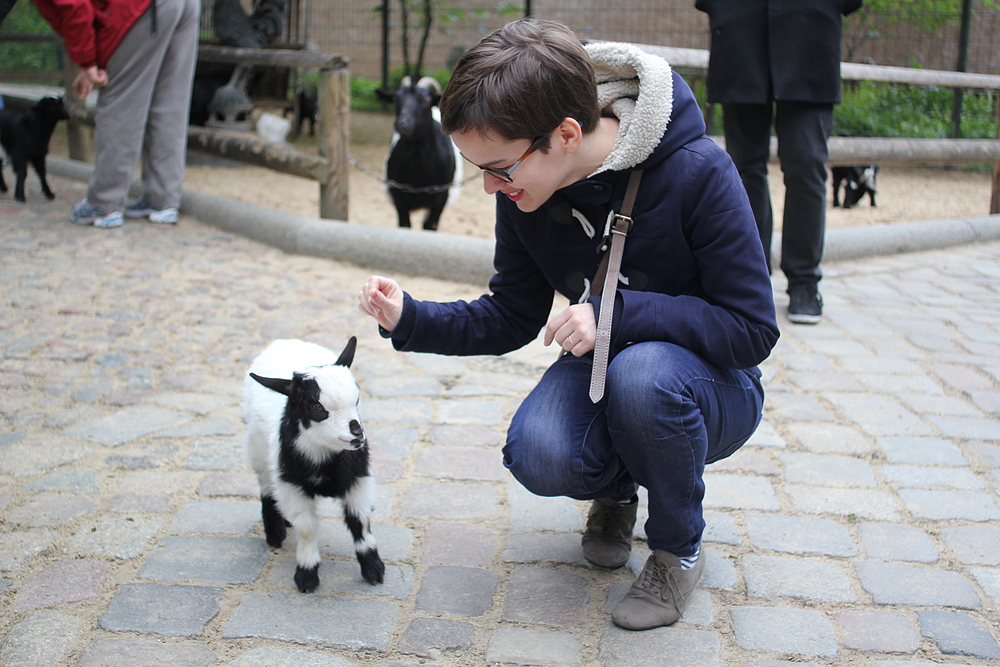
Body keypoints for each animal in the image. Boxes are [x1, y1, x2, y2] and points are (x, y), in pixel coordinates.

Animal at [241, 336, 382, 592]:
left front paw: (373, 567)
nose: (357, 435)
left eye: (357, 400)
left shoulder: (358, 480)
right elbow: (307, 529)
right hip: (257, 447)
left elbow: (360, 520)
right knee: (266, 484)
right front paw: (306, 575)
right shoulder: (292, 485)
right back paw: (274, 533)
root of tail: (284, 341)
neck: (325, 461)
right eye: (317, 407)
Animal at [376, 76, 460, 230]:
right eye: (396, 99)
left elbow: (429, 226)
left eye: (425, 101)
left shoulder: (441, 197)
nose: (403, 124)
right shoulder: (398, 195)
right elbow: (405, 224)